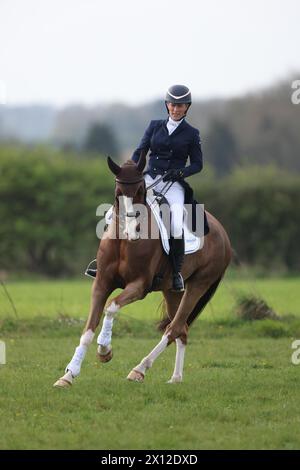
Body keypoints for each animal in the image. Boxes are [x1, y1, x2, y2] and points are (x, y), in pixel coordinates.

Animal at [54, 152, 232, 388]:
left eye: (140, 191)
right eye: (118, 193)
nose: (133, 231)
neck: (123, 242)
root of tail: (223, 233)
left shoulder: (139, 286)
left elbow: (111, 307)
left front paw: (105, 350)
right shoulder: (101, 283)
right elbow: (88, 330)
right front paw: (68, 375)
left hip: (198, 285)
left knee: (174, 328)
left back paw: (139, 370)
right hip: (172, 290)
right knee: (182, 330)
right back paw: (175, 378)